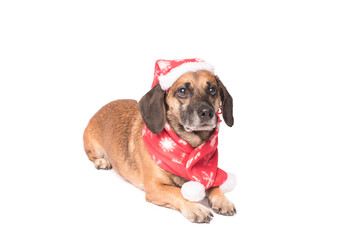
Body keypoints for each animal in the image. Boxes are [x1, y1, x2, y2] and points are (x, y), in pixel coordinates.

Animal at [83, 58, 236, 223]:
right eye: (183, 91)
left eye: (213, 90)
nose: (207, 112)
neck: (191, 148)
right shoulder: (155, 187)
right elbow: (177, 192)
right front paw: (195, 207)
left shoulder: (210, 175)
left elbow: (215, 186)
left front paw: (222, 200)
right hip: (93, 146)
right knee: (91, 155)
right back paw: (102, 161)